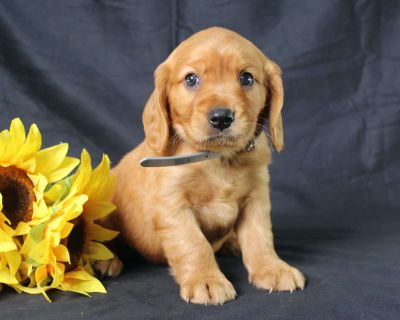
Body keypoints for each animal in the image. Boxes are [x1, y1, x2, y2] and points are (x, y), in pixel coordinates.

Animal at [96, 26, 304, 304]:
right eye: (191, 79)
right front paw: (206, 280)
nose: (221, 117)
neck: (218, 158)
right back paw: (106, 261)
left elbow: (260, 236)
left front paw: (272, 268)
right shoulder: (173, 205)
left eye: (247, 78)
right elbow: (193, 244)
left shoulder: (256, 197)